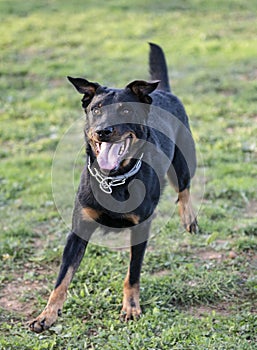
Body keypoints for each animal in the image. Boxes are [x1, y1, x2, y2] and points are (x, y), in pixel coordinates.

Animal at [29, 42, 197, 332]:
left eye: (126, 111)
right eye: (96, 109)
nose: (103, 131)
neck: (114, 178)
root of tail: (163, 91)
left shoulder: (141, 228)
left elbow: (133, 274)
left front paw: (131, 307)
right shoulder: (78, 229)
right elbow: (62, 279)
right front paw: (47, 314)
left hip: (183, 161)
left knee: (184, 188)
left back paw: (188, 218)